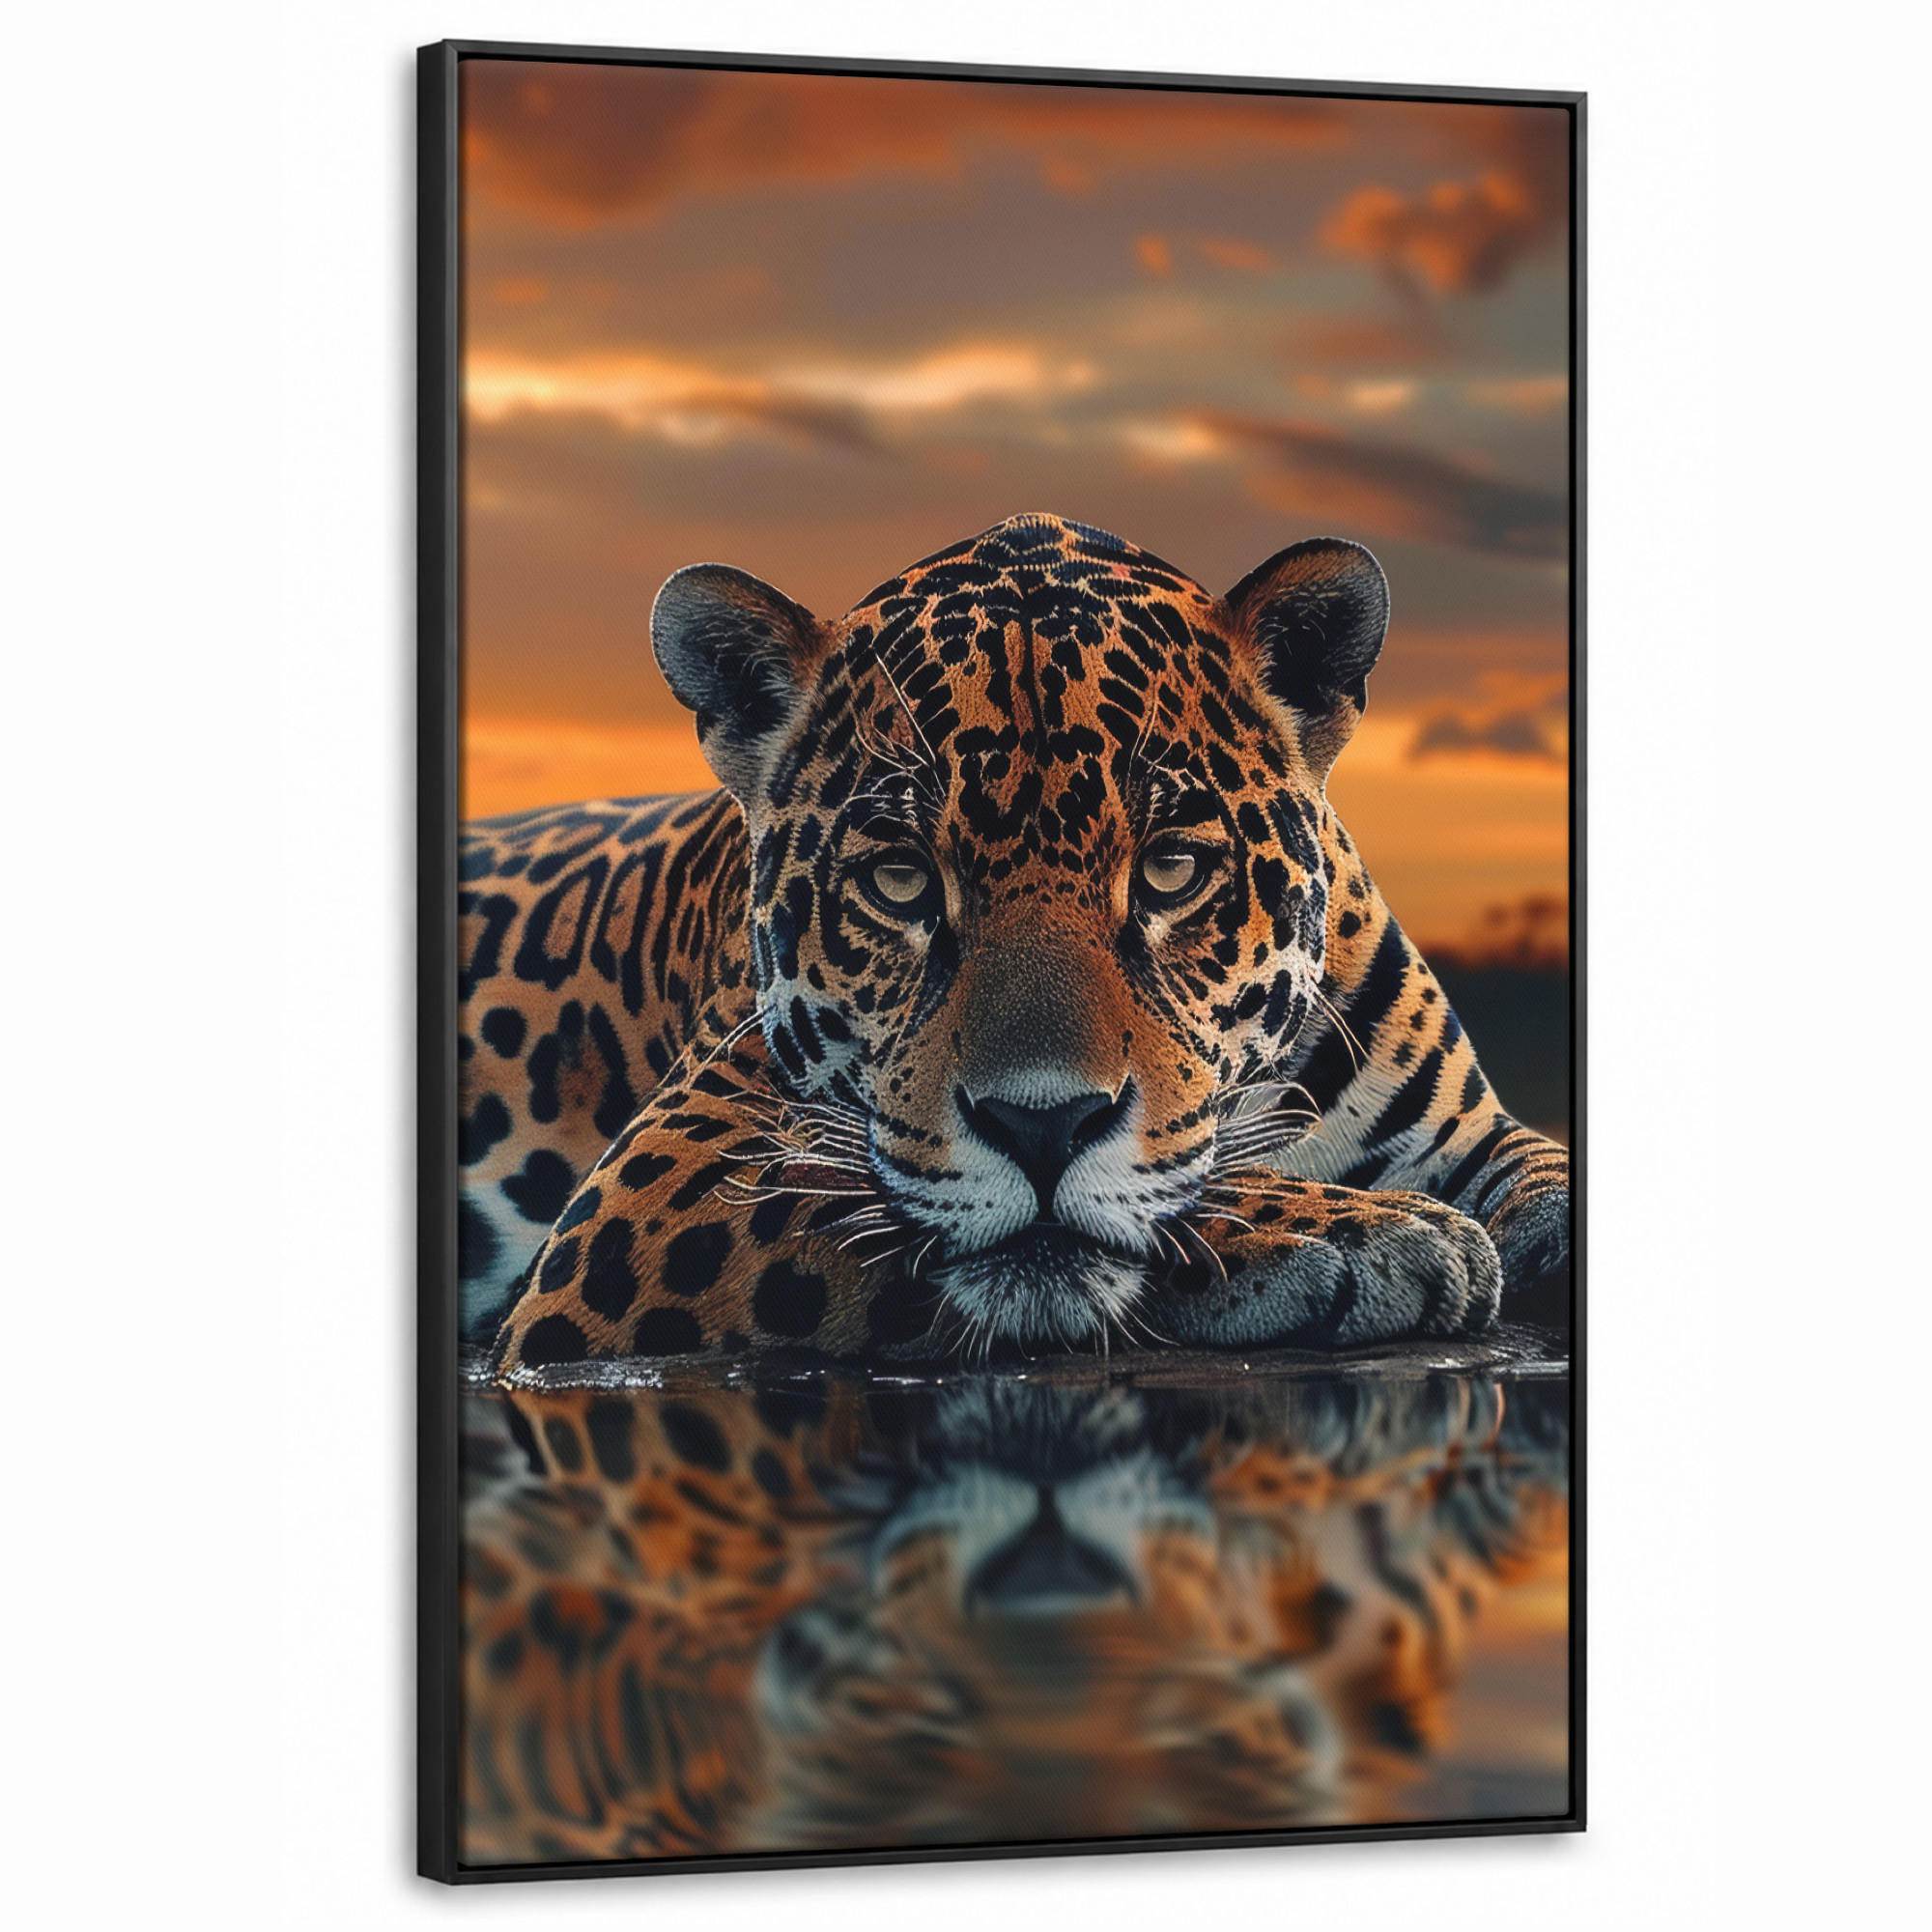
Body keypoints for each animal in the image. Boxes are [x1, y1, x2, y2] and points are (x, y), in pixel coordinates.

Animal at [456, 513, 1570, 1372]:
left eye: (1171, 869)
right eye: (900, 879)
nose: (1042, 1126)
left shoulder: (1467, 1129)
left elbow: (1541, 1163)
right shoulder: (658, 1179)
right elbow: (857, 1197)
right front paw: (1360, 1229)